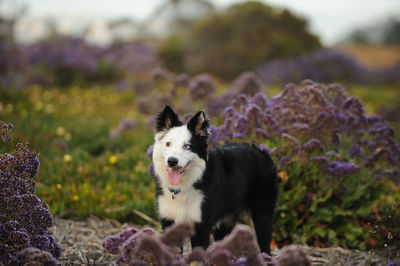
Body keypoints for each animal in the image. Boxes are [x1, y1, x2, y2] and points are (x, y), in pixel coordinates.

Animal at [152, 105, 280, 254]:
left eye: (187, 146)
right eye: (168, 144)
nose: (172, 161)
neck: (183, 187)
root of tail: (261, 151)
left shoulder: (201, 226)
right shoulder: (168, 221)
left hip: (262, 214)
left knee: (264, 244)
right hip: (226, 220)